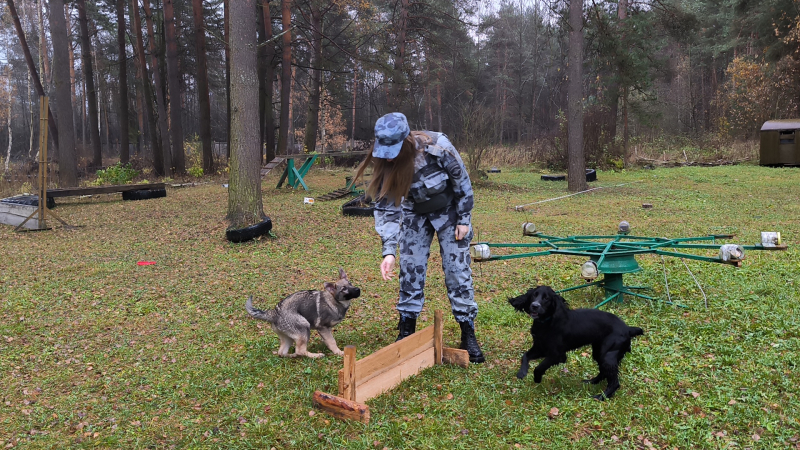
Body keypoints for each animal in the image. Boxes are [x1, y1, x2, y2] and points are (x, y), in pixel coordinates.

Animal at [512, 286, 644, 400]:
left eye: (546, 298)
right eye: (534, 295)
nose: (534, 306)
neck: (546, 323)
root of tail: (627, 328)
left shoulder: (557, 355)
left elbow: (539, 367)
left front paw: (537, 378)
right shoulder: (540, 348)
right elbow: (525, 355)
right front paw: (522, 372)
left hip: (608, 355)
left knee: (614, 382)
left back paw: (601, 397)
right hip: (599, 351)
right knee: (603, 372)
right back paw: (591, 382)